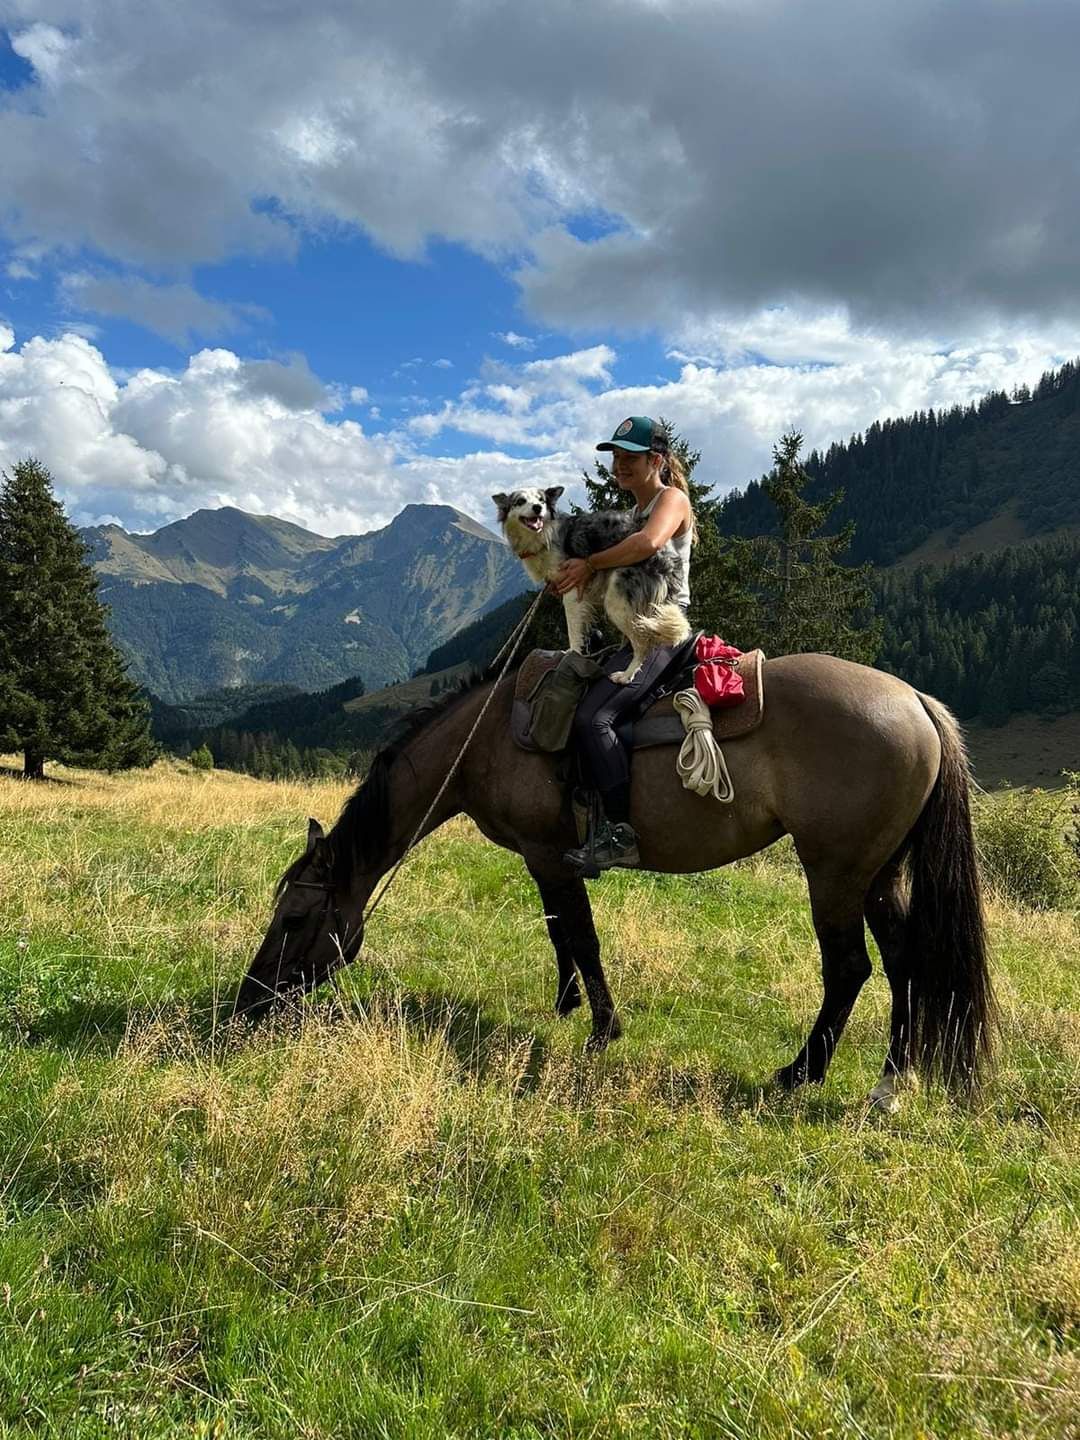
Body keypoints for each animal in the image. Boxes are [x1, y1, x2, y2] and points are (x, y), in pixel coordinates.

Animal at [239, 659, 996, 1105]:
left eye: (295, 920)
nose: (249, 1003)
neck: (485, 738)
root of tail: (916, 702)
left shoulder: (548, 853)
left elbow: (580, 934)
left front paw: (602, 1028)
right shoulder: (542, 859)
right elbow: (558, 933)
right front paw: (567, 1003)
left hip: (835, 872)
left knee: (848, 969)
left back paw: (800, 1073)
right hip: (878, 874)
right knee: (903, 965)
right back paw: (891, 1079)